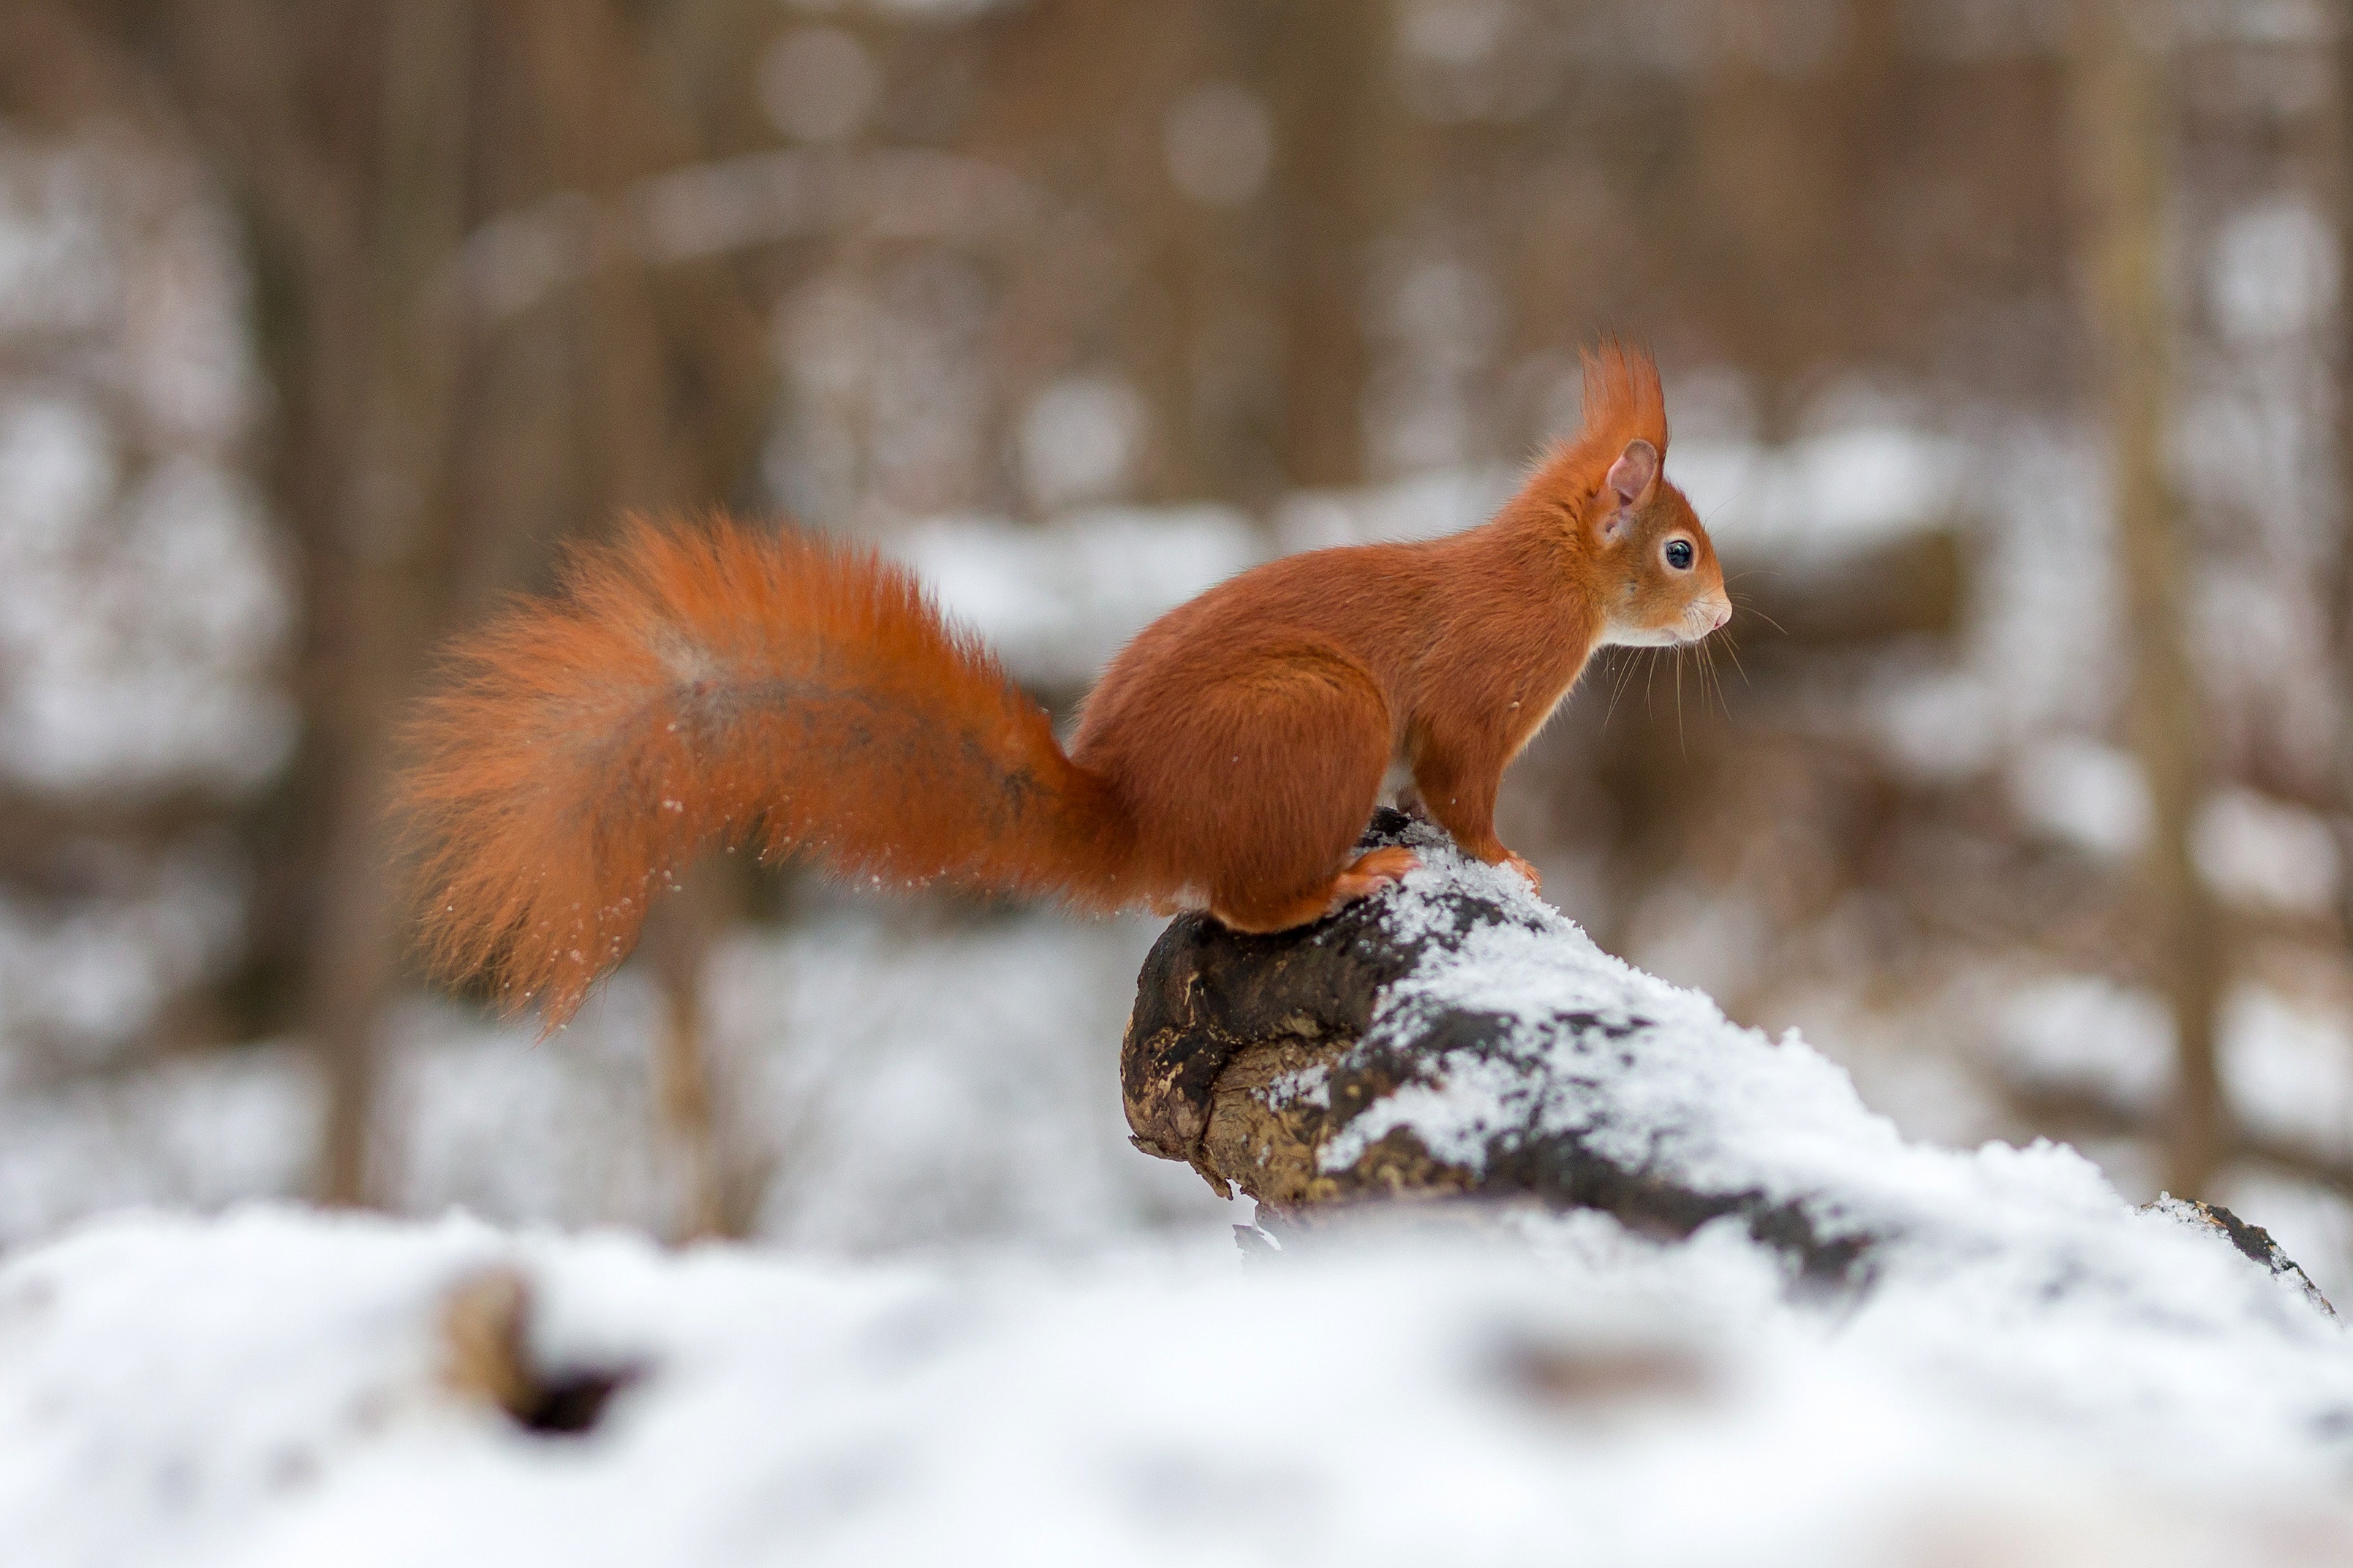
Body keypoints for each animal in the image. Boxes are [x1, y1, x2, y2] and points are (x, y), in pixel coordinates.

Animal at [404, 343, 1731, 1025]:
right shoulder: (1477, 696)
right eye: (1677, 552)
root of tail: (1136, 818)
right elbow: (1461, 787)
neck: (1549, 575)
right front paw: (1504, 859)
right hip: (1319, 715)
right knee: (1247, 903)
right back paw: (1346, 875)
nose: (1722, 612)